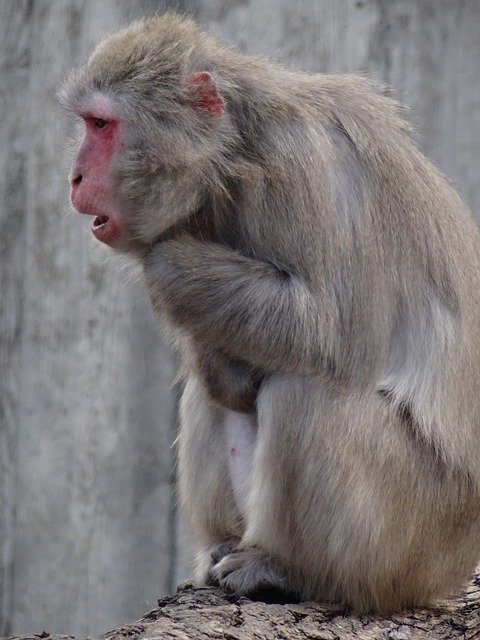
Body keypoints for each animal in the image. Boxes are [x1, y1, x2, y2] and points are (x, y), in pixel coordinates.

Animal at [60, 12, 480, 612]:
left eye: (101, 124)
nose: (74, 177)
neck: (238, 151)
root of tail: (449, 570)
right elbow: (228, 374)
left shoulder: (308, 169)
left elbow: (327, 329)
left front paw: (165, 258)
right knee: (211, 391)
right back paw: (224, 545)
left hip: (411, 539)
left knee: (308, 385)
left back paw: (283, 567)